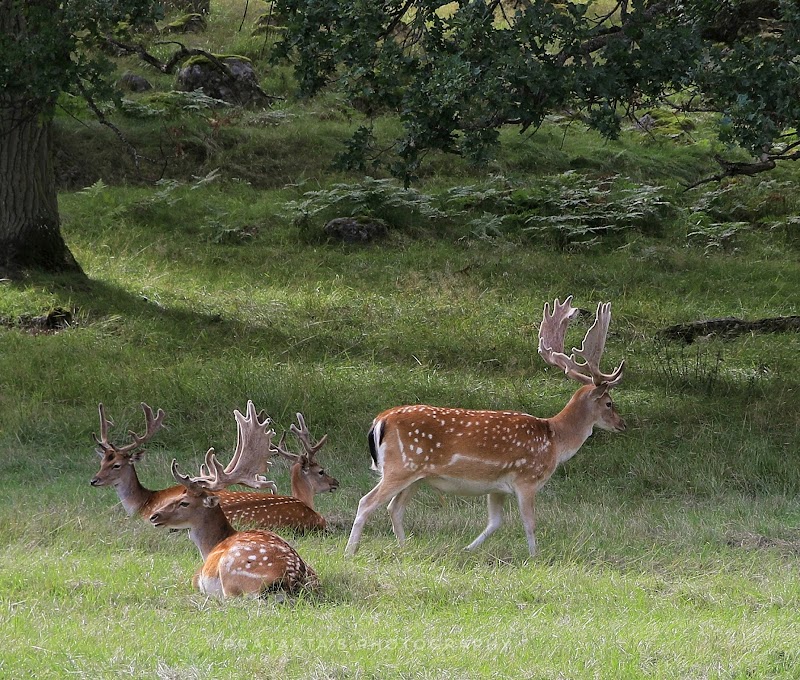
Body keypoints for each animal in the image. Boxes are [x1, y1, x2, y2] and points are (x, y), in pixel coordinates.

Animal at [149, 433, 319, 598]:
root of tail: (292, 579)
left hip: (230, 571)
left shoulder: (198, 577)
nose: (154, 516)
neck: (210, 546)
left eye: (184, 502)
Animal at [345, 296, 626, 558]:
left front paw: (467, 549)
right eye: (609, 403)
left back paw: (404, 549)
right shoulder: (526, 478)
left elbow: (495, 522)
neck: (554, 440)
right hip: (400, 466)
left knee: (395, 508)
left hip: (417, 474)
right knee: (366, 502)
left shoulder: (497, 487)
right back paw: (350, 551)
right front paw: (535, 557)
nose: (622, 424)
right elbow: (530, 523)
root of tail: (380, 421)